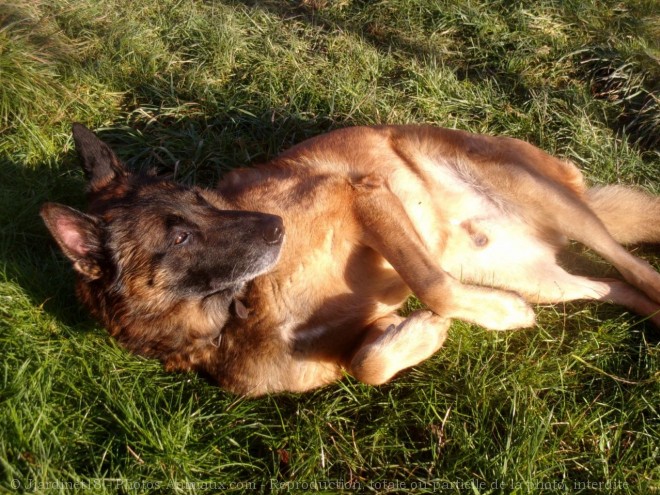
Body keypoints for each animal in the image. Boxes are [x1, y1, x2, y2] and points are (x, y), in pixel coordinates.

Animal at [41, 124, 660, 396]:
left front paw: (496, 317)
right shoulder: (349, 345)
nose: (275, 226)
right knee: (616, 287)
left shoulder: (362, 195)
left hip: (550, 202)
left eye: (200, 197)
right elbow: (369, 363)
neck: (240, 309)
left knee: (635, 266)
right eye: (181, 239)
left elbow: (431, 284)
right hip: (540, 278)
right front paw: (418, 337)